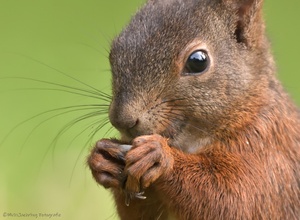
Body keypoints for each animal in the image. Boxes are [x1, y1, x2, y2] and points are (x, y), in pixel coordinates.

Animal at [86, 0, 300, 218]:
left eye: (198, 61)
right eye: (113, 53)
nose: (122, 119)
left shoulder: (268, 154)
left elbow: (235, 201)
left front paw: (160, 156)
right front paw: (101, 159)